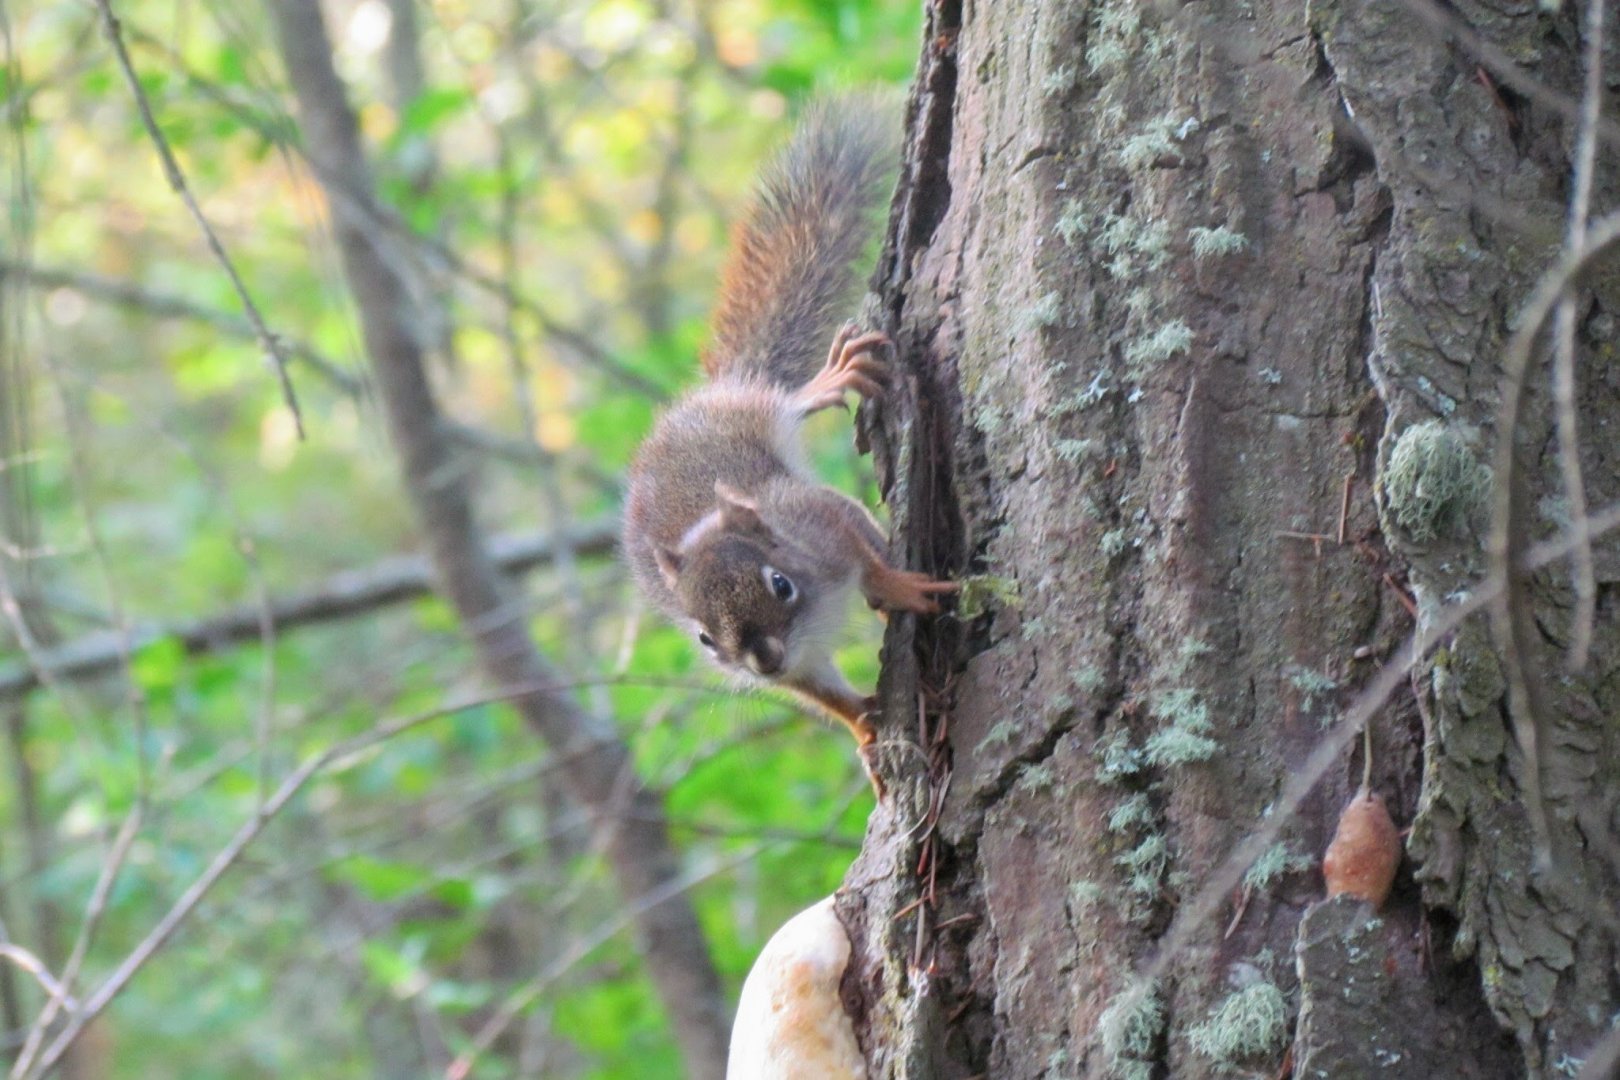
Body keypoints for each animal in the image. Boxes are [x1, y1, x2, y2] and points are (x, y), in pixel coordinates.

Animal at [623, 101, 954, 773]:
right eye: (703, 637)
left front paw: (898, 585)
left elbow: (864, 555)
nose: (764, 660)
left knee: (789, 403)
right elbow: (822, 694)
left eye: (780, 584)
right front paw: (865, 732)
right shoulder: (798, 669)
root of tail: (694, 403)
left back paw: (828, 380)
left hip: (748, 415)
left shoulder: (821, 521)